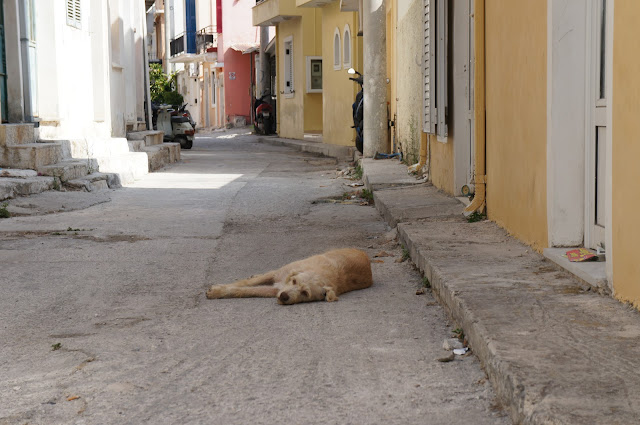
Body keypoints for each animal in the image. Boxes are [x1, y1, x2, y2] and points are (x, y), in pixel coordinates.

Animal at [205, 248, 373, 305]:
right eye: (294, 281)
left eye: (305, 293)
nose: (284, 296)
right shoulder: (277, 274)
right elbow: (246, 283)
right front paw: (218, 290)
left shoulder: (273, 291)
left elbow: (247, 291)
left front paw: (219, 291)